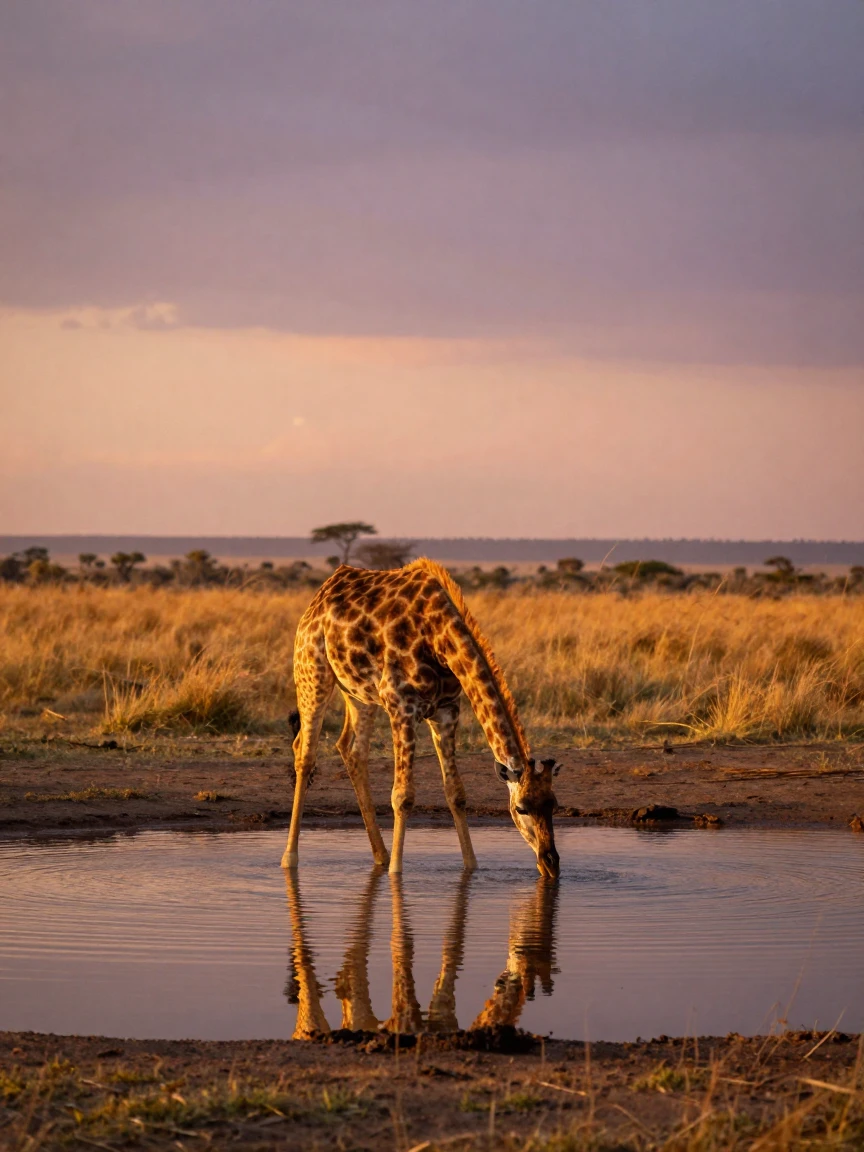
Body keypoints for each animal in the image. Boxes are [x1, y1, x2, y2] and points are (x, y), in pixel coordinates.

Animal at [281, 558, 562, 877]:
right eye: (521, 808)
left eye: (553, 805)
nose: (551, 864)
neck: (438, 638)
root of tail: (323, 592)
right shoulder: (402, 706)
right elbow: (402, 796)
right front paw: (396, 874)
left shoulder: (447, 710)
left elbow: (456, 792)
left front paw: (471, 868)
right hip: (312, 672)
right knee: (305, 753)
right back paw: (290, 858)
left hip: (359, 694)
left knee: (351, 751)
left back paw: (380, 855)